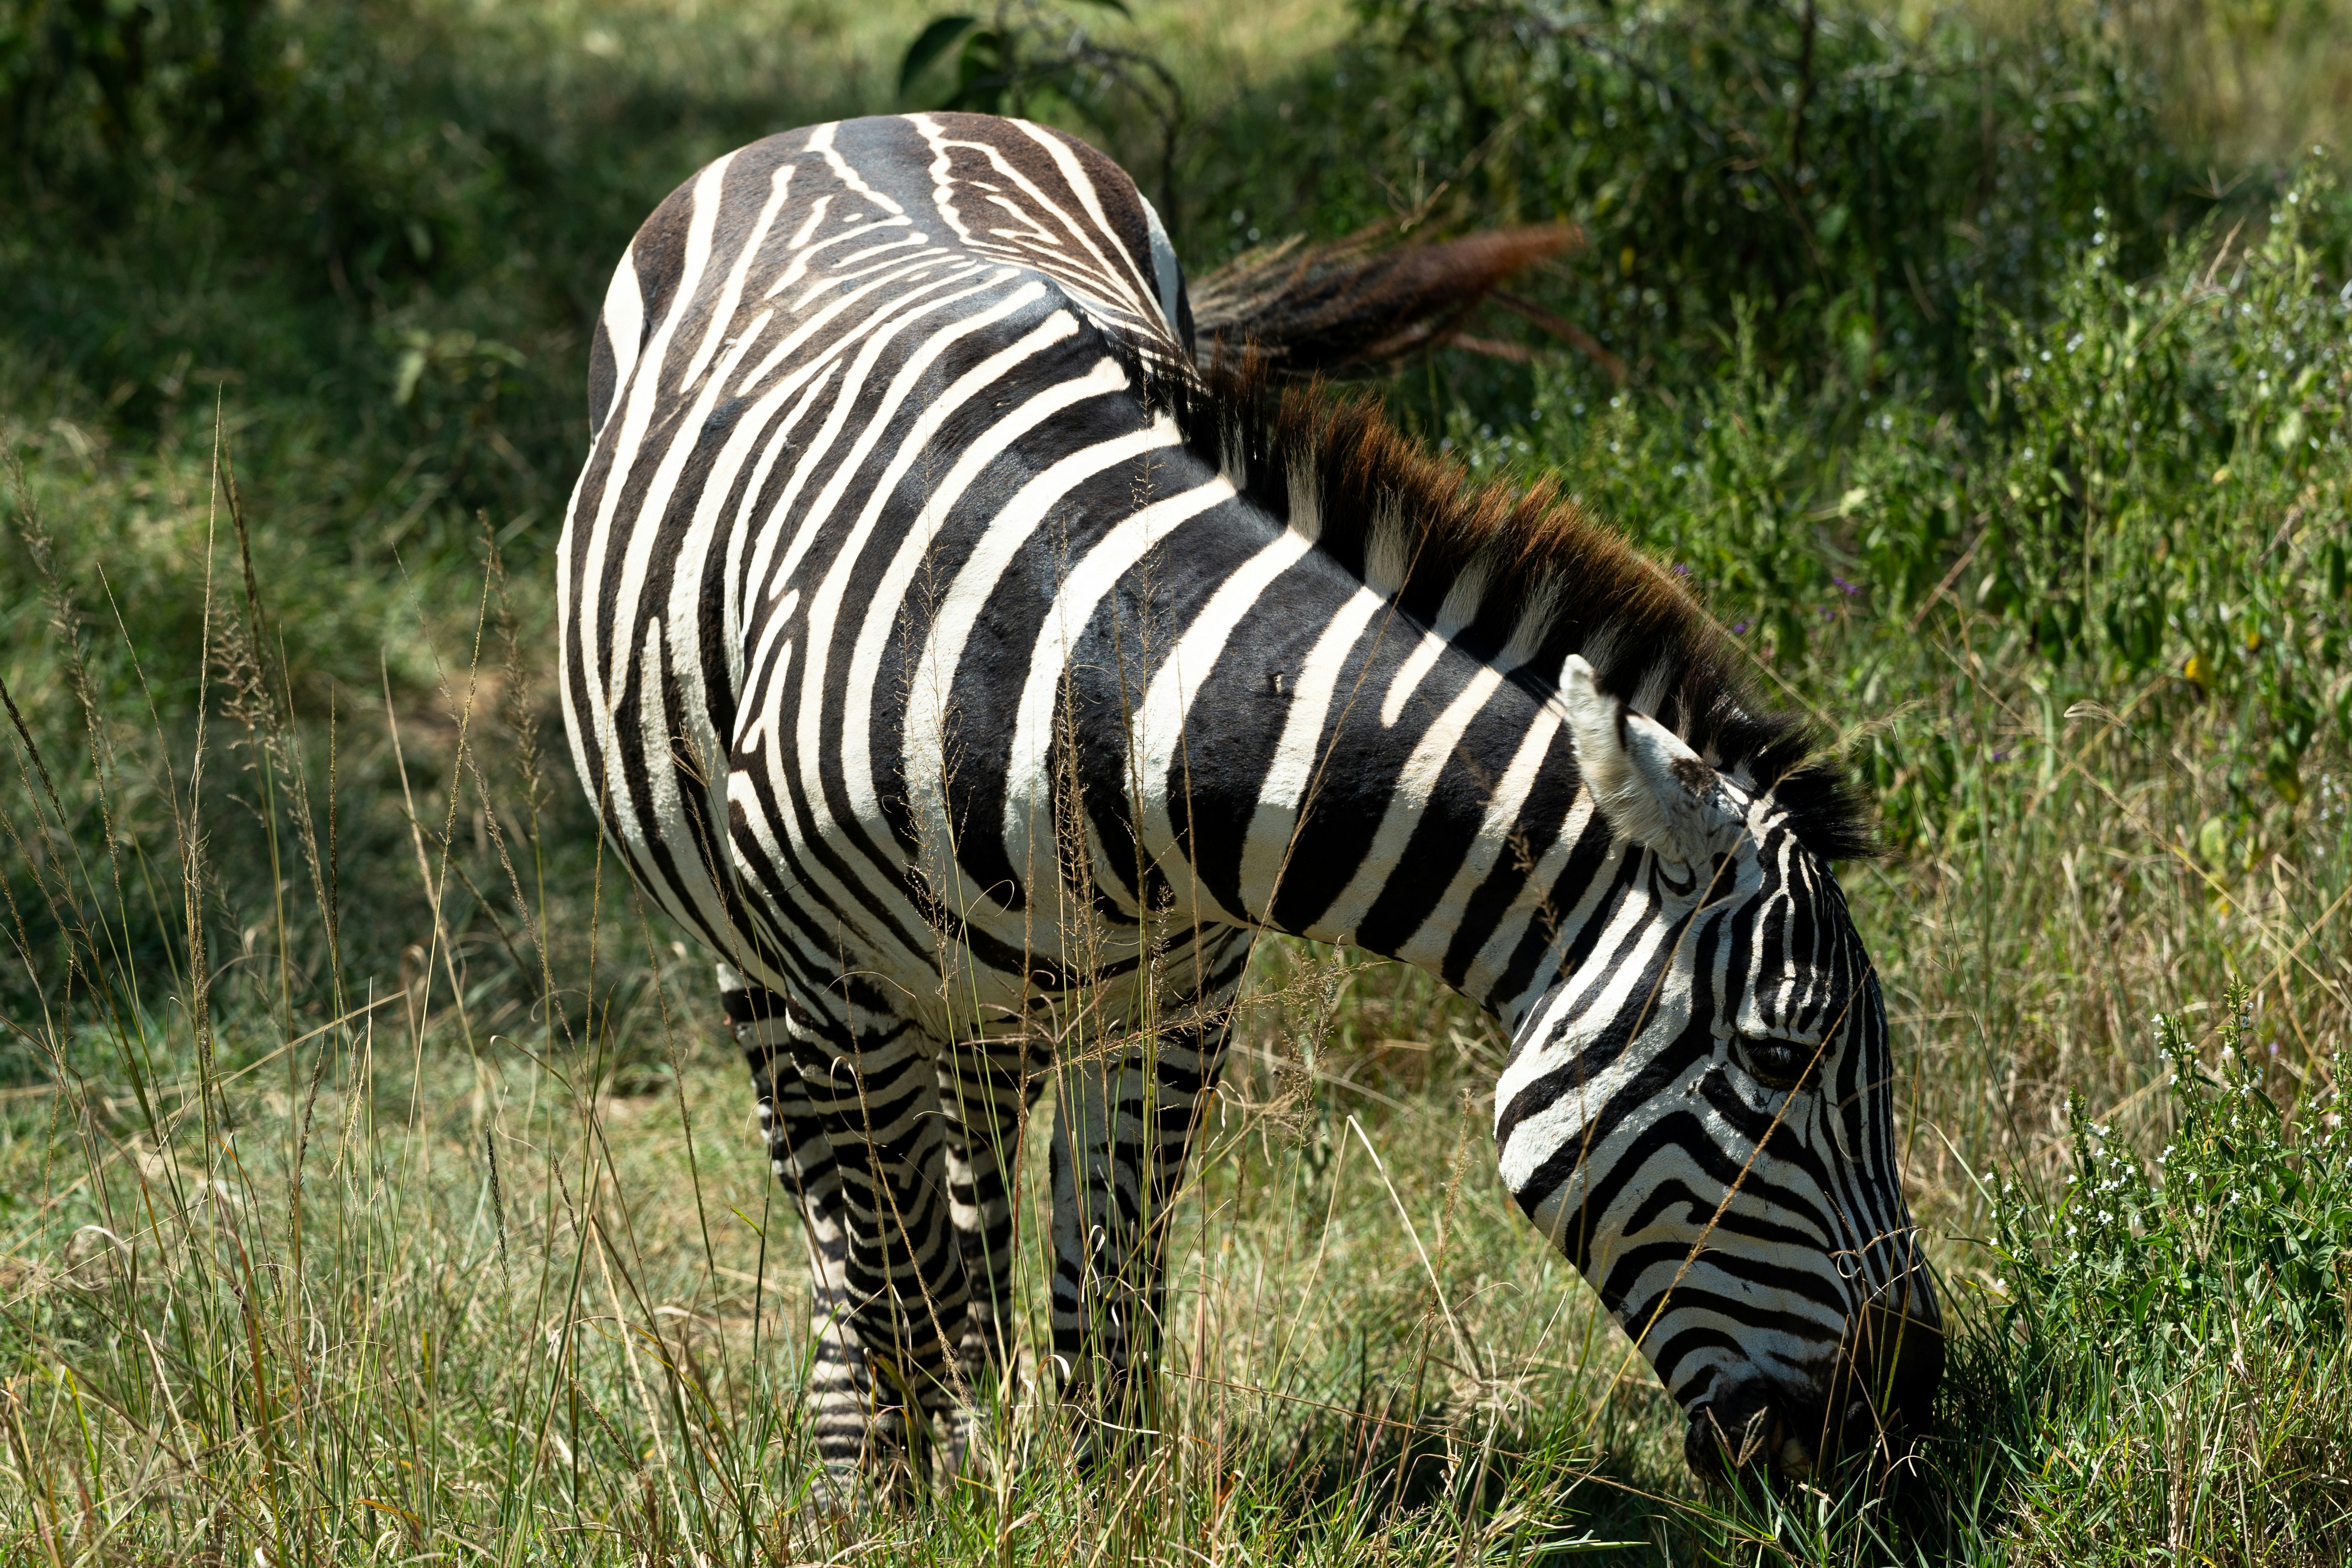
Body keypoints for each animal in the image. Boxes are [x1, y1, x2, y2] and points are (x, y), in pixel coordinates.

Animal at [558, 111, 1943, 1492]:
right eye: (1780, 1052)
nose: (1902, 1412)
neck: (1096, 679)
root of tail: (850, 123)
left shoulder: (1182, 994)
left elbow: (1110, 1286)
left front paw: (1099, 1500)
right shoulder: (844, 994)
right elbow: (900, 1281)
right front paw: (907, 1504)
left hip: (998, 989)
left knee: (975, 1169)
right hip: (755, 954)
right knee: (835, 1218)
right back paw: (869, 1454)